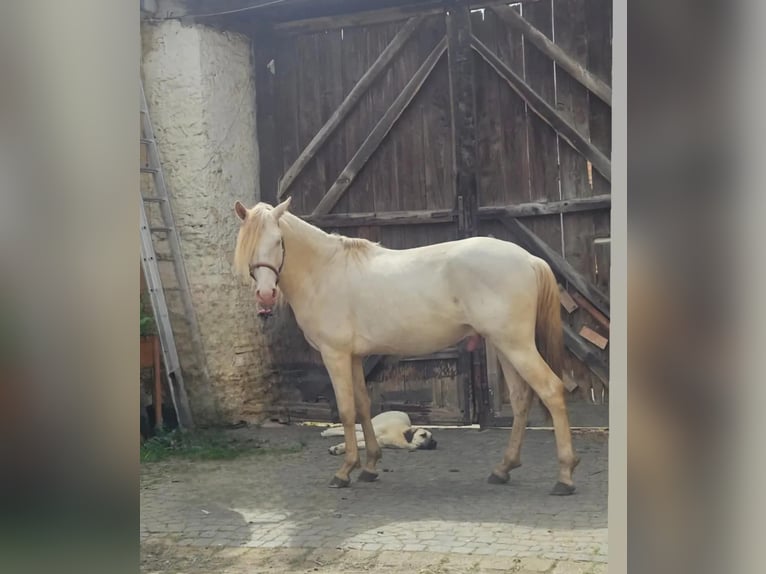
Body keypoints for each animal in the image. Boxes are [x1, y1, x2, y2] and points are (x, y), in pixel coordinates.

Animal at [234, 198, 584, 496]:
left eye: (278, 241)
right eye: (249, 244)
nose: (265, 296)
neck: (326, 271)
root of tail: (529, 259)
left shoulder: (335, 355)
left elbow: (346, 411)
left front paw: (344, 471)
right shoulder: (355, 357)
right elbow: (364, 407)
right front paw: (370, 467)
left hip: (515, 345)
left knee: (551, 390)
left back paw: (565, 476)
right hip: (504, 346)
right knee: (522, 398)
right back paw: (503, 469)